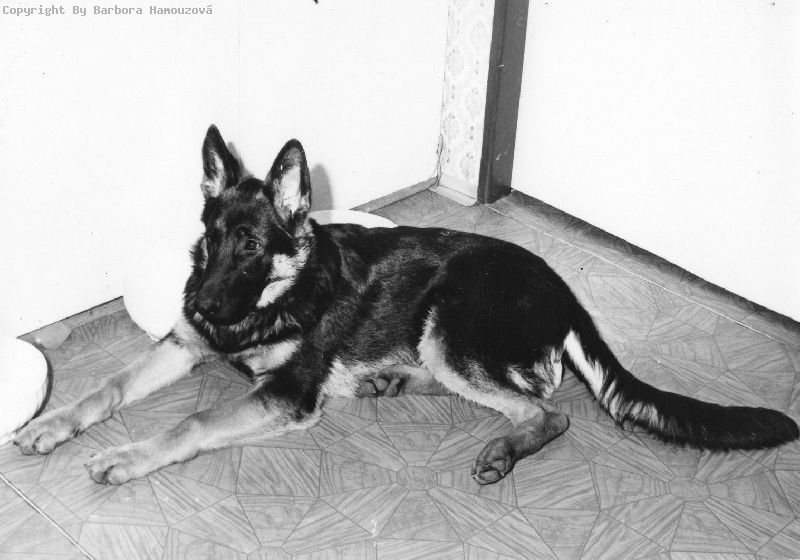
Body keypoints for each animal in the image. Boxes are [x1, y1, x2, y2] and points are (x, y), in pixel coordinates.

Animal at [14, 125, 799, 485]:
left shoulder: (285, 394)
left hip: (450, 322)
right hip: (437, 338)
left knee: (545, 412)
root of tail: (562, 289)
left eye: (251, 246)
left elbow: (195, 421)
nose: (202, 306)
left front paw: (129, 457)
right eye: (208, 240)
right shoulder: (182, 347)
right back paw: (388, 380)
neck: (281, 293)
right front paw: (51, 423)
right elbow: (109, 386)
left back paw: (501, 450)